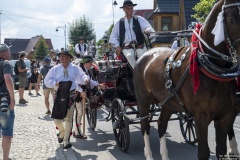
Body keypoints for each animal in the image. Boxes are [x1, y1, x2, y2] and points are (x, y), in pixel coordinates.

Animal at [133, 0, 240, 159]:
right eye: (232, 19)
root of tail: (144, 55)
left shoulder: (225, 116)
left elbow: (221, 149)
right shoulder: (201, 117)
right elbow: (203, 152)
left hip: (168, 102)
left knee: (161, 124)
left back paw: (164, 155)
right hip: (143, 101)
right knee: (145, 126)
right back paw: (149, 155)